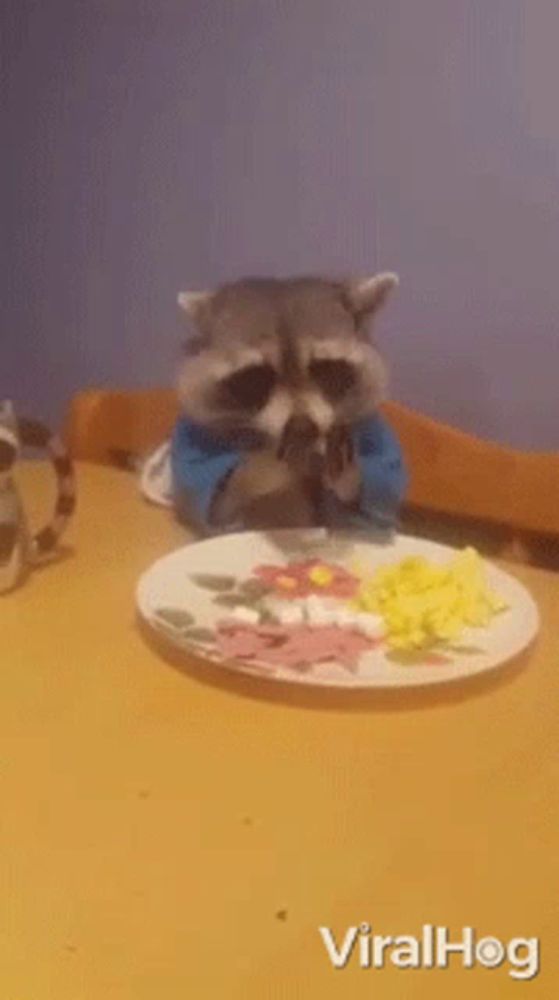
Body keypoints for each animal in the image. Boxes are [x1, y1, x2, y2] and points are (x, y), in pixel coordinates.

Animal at [177, 270, 400, 528]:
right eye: (256, 377)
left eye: (325, 368)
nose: (301, 429)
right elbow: (219, 506)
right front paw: (263, 465)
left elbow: (359, 511)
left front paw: (348, 475)